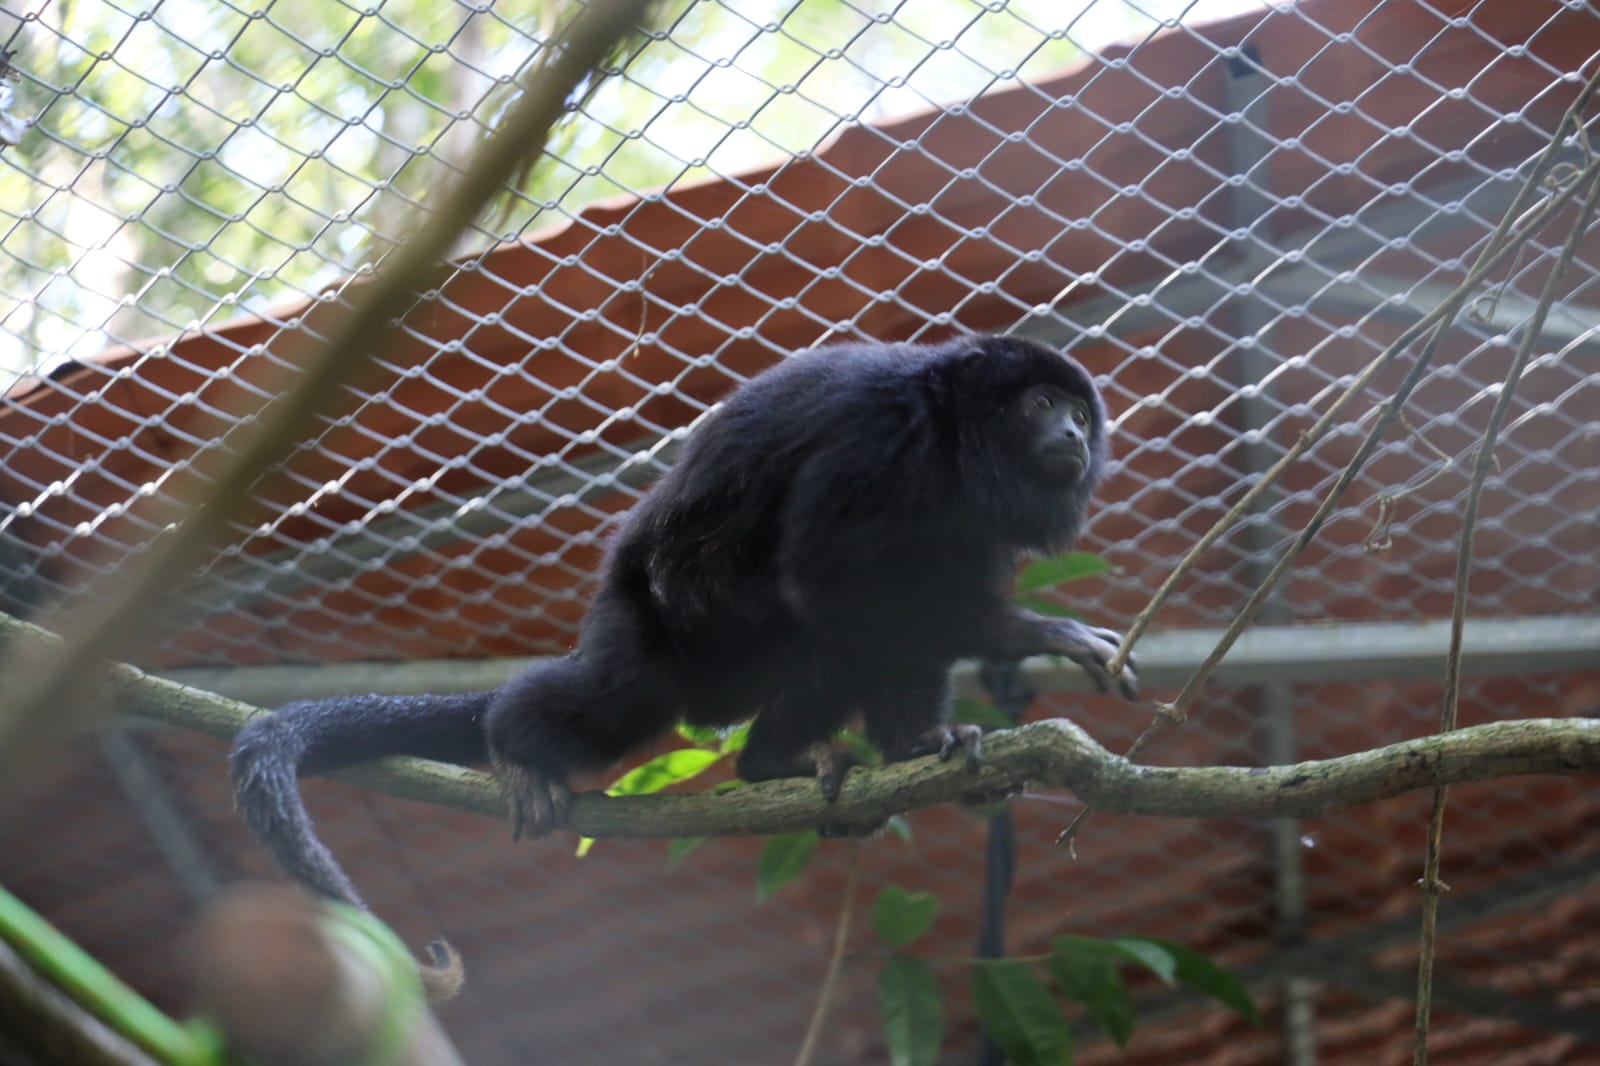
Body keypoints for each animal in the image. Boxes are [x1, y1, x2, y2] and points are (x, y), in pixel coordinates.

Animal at [229, 334, 1138, 999]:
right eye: (1040, 403)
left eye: (1078, 413)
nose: (1073, 434)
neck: (953, 443)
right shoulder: (882, 438)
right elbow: (825, 576)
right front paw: (1037, 633)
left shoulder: (971, 519)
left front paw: (925, 743)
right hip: (666, 632)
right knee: (634, 693)